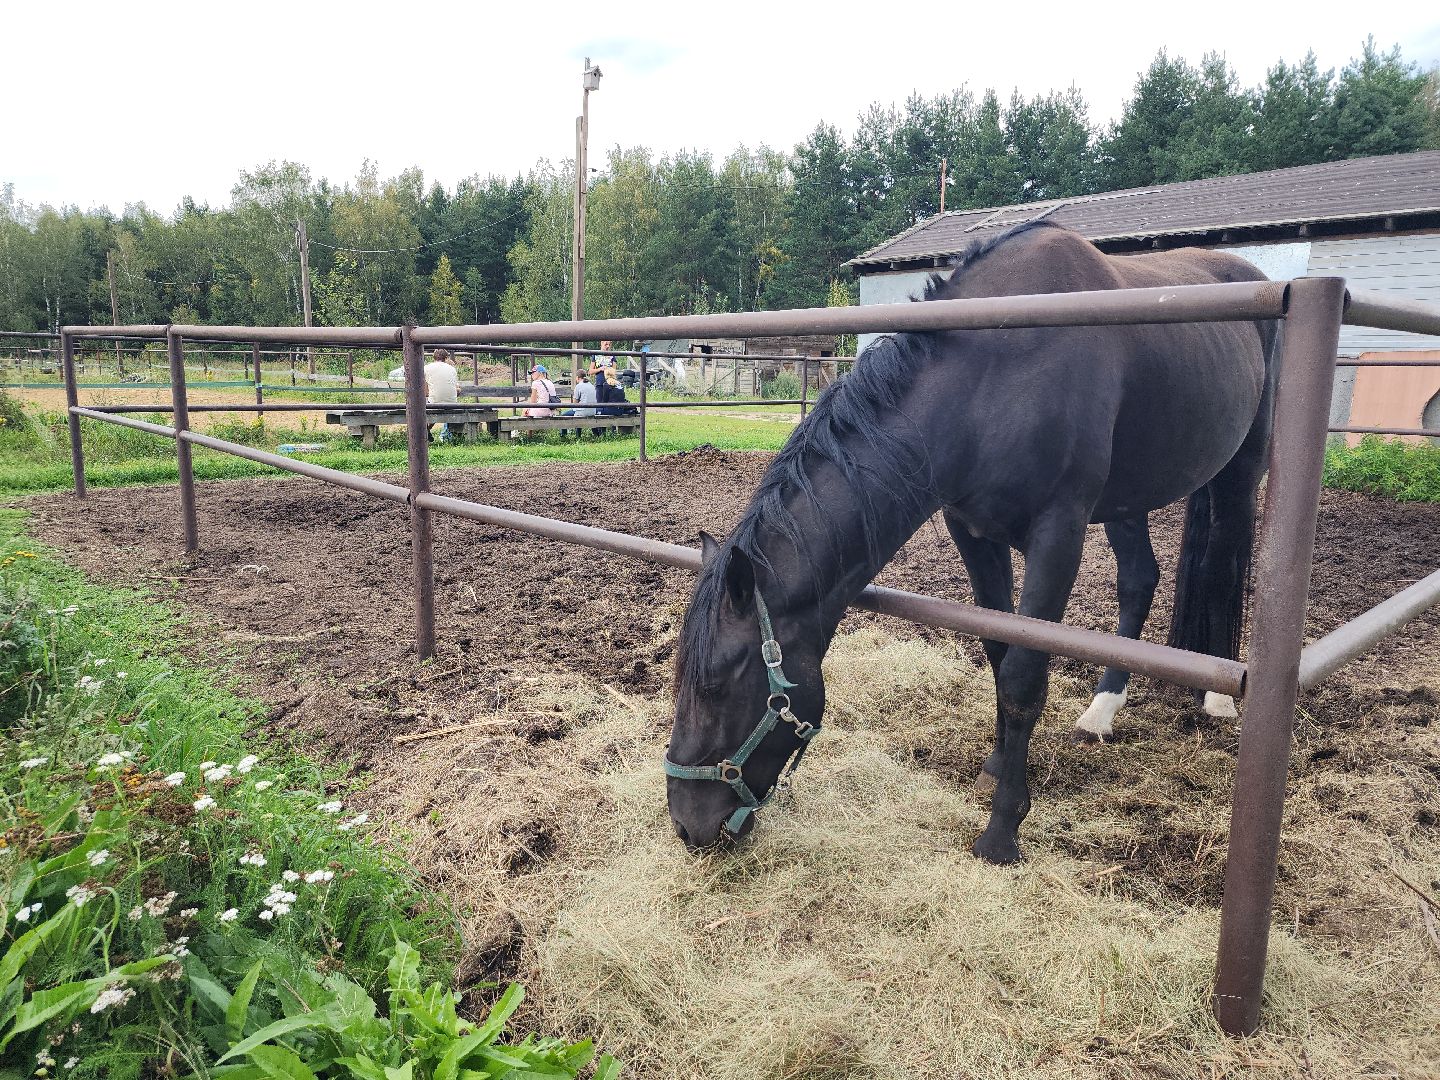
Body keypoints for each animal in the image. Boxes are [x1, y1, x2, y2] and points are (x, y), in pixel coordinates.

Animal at [665, 219, 1281, 863]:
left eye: (714, 685)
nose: (687, 824)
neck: (991, 379)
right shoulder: (973, 531)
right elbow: (998, 652)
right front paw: (996, 764)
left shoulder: (1058, 533)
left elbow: (1023, 676)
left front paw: (1003, 829)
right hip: (1128, 498)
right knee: (1139, 581)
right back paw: (1101, 711)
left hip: (1239, 474)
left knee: (1222, 568)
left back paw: (1217, 699)